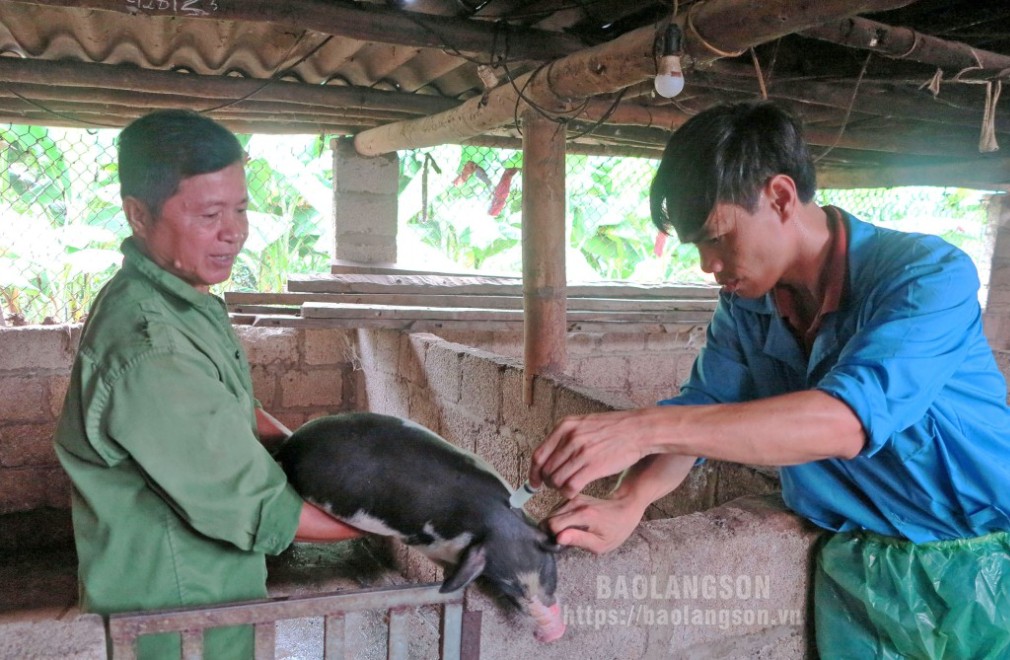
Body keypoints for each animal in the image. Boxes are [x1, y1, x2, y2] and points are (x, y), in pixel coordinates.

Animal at [272, 408, 565, 642]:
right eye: (508, 584)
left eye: (545, 567)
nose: (552, 627)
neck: (489, 517)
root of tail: (290, 443)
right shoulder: (433, 544)